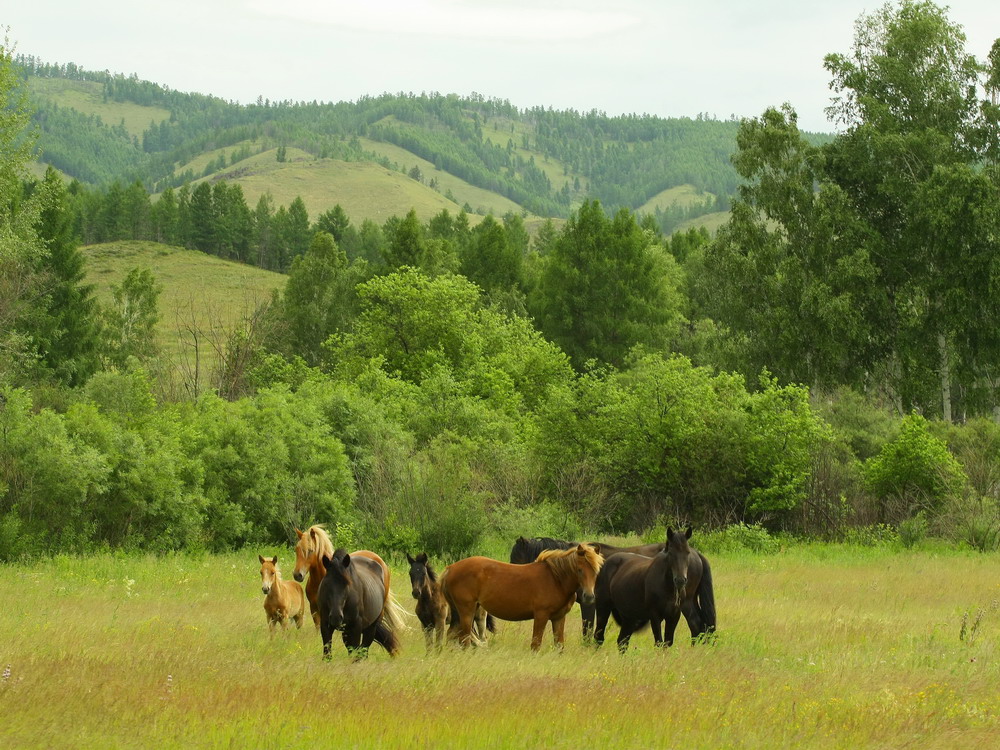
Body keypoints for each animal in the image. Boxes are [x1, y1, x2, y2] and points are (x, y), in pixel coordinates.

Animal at [440, 548, 600, 652]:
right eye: (579, 569)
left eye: (596, 571)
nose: (589, 596)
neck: (556, 579)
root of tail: (450, 568)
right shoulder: (541, 616)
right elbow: (536, 645)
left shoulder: (559, 618)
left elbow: (559, 645)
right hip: (466, 611)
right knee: (464, 639)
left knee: (452, 635)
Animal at [588, 528, 716, 652]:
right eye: (671, 553)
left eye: (687, 553)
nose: (680, 580)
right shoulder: (655, 615)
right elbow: (659, 642)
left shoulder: (674, 615)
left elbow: (667, 642)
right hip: (604, 607)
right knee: (601, 637)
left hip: (629, 616)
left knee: (622, 641)